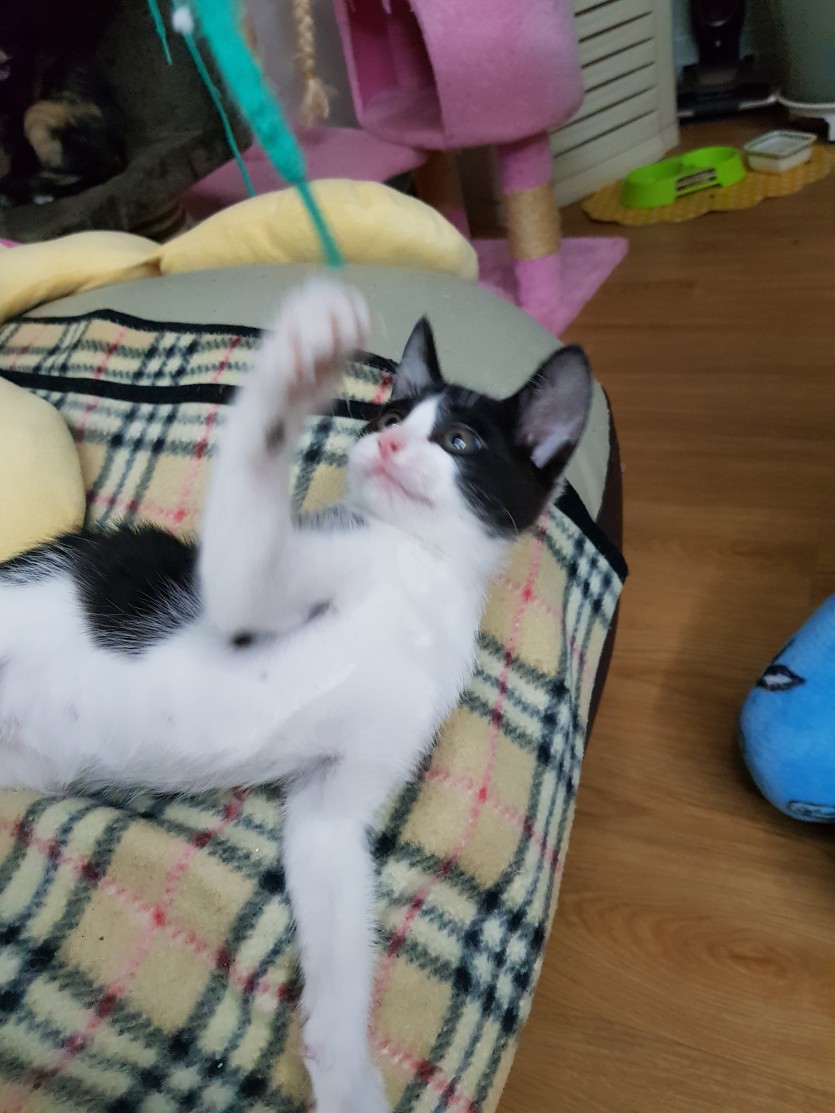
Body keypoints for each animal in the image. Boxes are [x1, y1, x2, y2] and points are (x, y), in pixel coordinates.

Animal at [0, 280, 592, 1112]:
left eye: (459, 442)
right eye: (386, 418)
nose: (384, 444)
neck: (416, 572)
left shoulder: (333, 805)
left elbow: (336, 900)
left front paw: (344, 1071)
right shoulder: (242, 593)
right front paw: (300, 353)